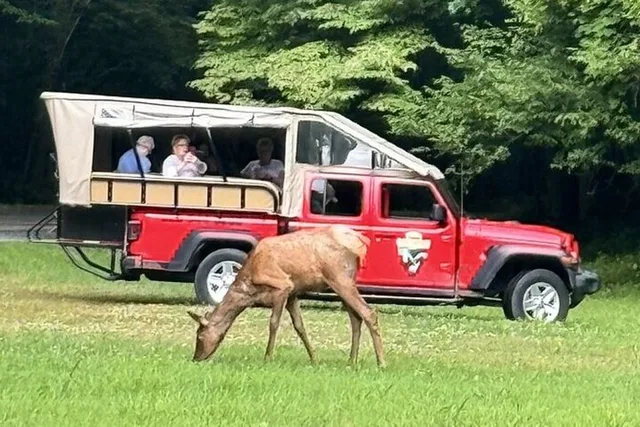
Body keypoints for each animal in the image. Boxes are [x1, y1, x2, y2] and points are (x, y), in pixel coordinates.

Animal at [187, 224, 386, 368]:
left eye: (200, 335)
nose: (196, 358)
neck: (249, 290)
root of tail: (360, 239)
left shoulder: (283, 287)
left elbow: (274, 323)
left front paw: (267, 358)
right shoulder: (292, 295)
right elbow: (299, 326)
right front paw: (314, 359)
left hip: (339, 277)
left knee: (368, 313)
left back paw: (381, 362)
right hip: (344, 281)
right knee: (355, 318)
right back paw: (351, 361)